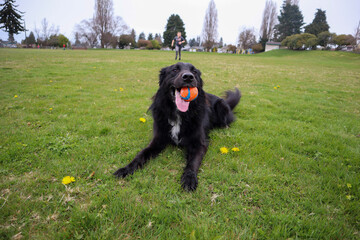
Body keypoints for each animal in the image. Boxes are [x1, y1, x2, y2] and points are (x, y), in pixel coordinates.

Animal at [114, 62, 240, 191]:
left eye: (194, 71)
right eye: (174, 70)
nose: (188, 77)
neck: (179, 113)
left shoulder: (199, 144)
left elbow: (193, 162)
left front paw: (189, 178)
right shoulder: (157, 140)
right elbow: (141, 154)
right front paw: (127, 168)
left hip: (221, 105)